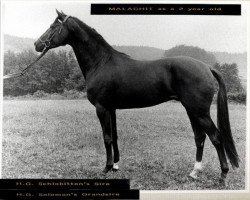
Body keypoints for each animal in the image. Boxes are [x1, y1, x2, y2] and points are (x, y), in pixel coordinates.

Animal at [34, 10, 239, 184]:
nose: (37, 44)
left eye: (53, 26)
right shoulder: (111, 108)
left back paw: (223, 176)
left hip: (199, 112)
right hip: (192, 110)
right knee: (200, 137)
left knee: (216, 137)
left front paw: (106, 168)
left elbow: (106, 137)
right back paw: (194, 172)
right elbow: (115, 136)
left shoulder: (101, 108)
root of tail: (207, 67)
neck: (101, 62)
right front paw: (116, 166)